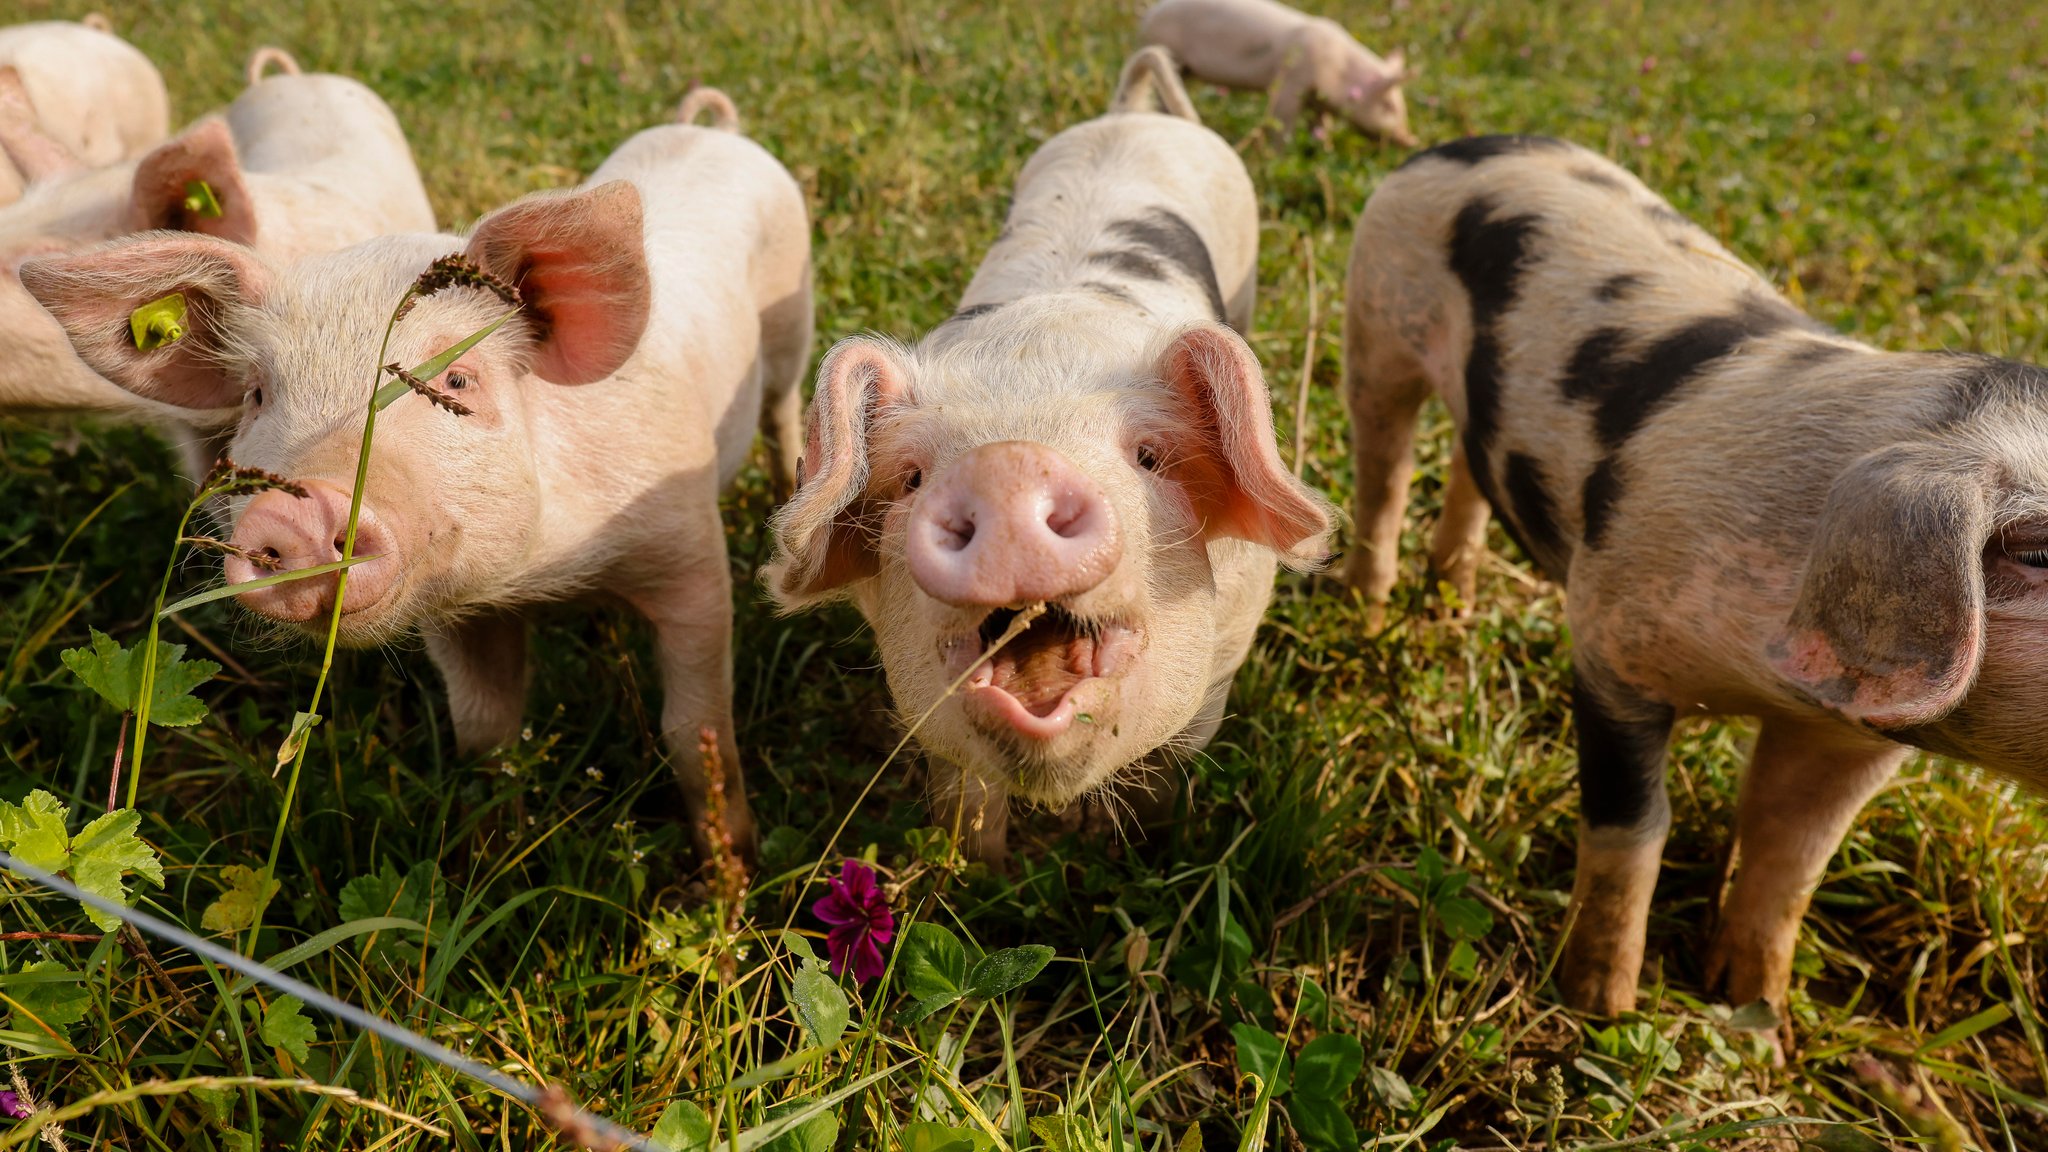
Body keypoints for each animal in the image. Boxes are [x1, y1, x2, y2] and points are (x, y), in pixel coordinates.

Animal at [24, 87, 811, 860]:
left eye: (456, 381)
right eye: (256, 394)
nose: (299, 508)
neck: (548, 576)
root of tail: (714, 130)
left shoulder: (690, 548)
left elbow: (695, 734)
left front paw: (732, 871)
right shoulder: (457, 612)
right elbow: (485, 731)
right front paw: (489, 846)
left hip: (791, 331)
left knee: (782, 411)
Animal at [765, 51, 1327, 860]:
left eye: (1149, 457)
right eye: (912, 476)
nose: (1010, 466)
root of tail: (1136, 113)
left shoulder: (1229, 650)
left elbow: (1172, 764)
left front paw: (1132, 850)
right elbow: (966, 794)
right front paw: (976, 870)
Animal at [1146, 0, 1417, 145]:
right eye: (1389, 105)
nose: (1411, 140)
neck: (1337, 68)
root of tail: (1148, 17)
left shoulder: (1317, 100)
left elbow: (1322, 124)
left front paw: (1324, 147)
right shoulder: (1291, 81)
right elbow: (1282, 122)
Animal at [1343, 132, 2048, 1041]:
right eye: (2038, 553)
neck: (1763, 678)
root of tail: (1462, 145)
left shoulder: (1846, 737)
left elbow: (1791, 859)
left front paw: (1761, 1024)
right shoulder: (1611, 645)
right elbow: (1634, 831)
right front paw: (1600, 1011)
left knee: (1468, 464)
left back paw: (1453, 605)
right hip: (1376, 321)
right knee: (1383, 469)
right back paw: (1367, 614)